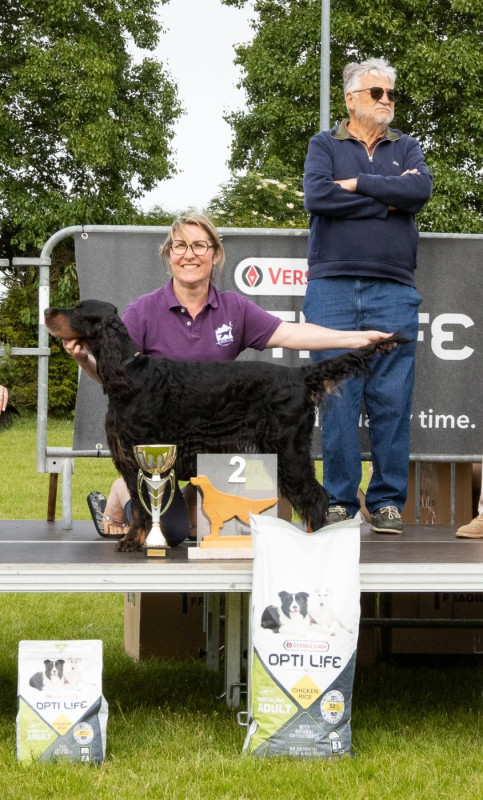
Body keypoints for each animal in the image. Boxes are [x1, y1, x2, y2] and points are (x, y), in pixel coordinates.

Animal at [44, 299, 406, 551]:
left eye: (79, 309)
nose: (47, 310)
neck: (130, 374)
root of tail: (300, 374)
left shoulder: (140, 454)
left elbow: (143, 510)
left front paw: (132, 541)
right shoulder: (133, 459)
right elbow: (141, 506)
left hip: (288, 450)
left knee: (316, 496)